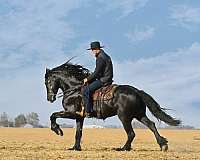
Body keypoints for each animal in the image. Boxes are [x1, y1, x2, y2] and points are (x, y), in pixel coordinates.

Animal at [44, 60, 180, 151]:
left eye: (47, 82)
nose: (50, 98)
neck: (74, 89)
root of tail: (136, 91)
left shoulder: (71, 113)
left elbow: (53, 115)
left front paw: (58, 130)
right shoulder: (79, 117)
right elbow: (78, 133)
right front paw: (75, 148)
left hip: (124, 117)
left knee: (131, 133)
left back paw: (123, 148)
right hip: (139, 115)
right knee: (151, 125)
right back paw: (163, 144)